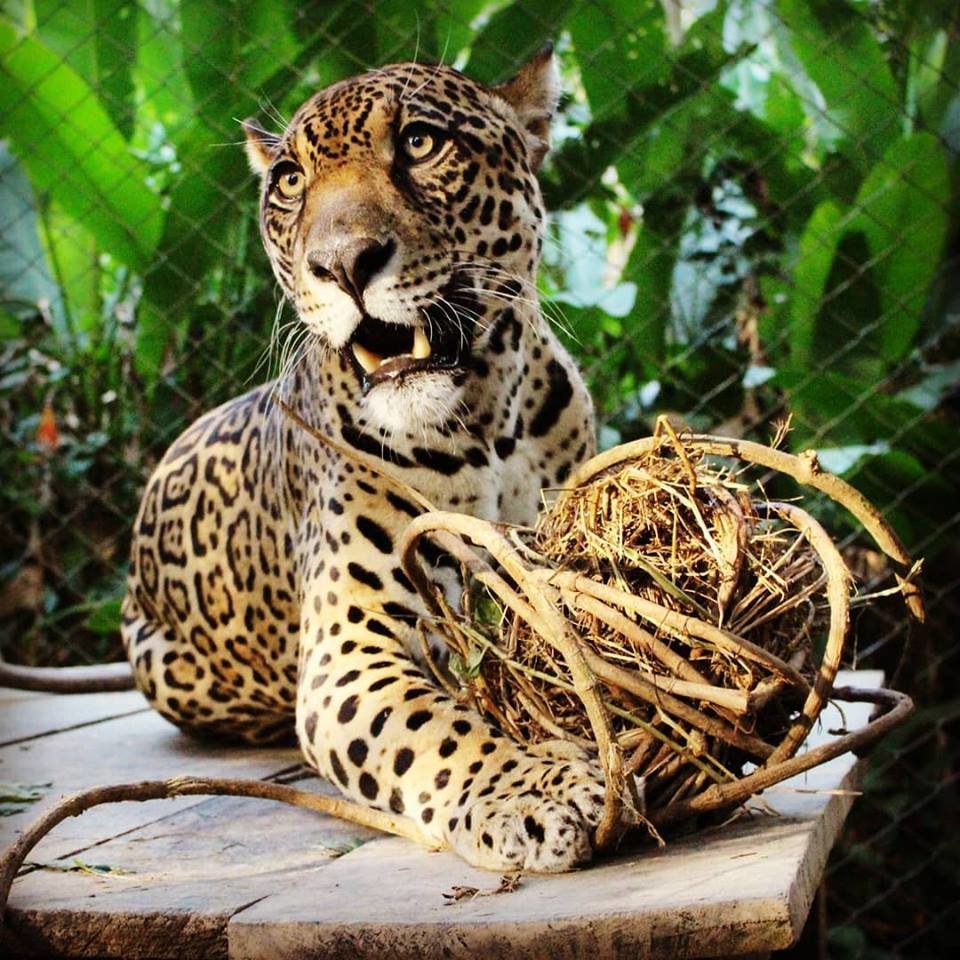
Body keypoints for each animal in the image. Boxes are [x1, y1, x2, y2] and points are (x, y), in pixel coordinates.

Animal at [121, 47, 607, 873]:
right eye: (290, 181)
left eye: (419, 142)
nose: (343, 264)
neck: (489, 425)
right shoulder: (352, 646)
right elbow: (436, 733)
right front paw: (537, 792)